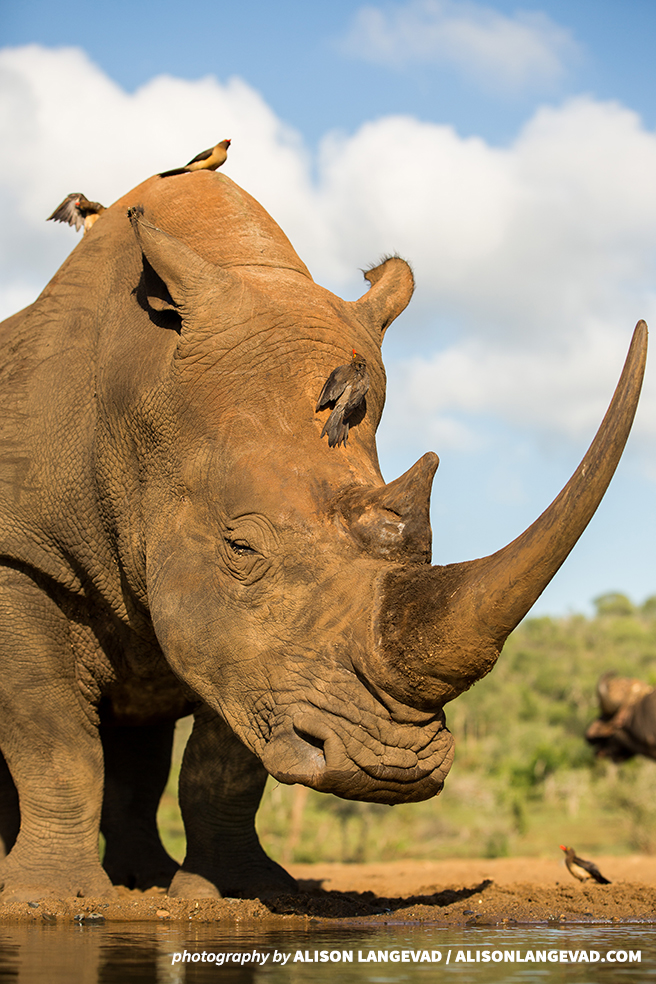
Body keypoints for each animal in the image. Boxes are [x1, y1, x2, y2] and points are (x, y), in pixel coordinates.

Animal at [0, 170, 647, 901]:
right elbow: (55, 742)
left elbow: (224, 762)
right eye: (241, 548)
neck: (138, 396)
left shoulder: (250, 644)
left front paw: (241, 892)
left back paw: (145, 880)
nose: (392, 763)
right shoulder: (20, 554)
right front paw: (53, 900)